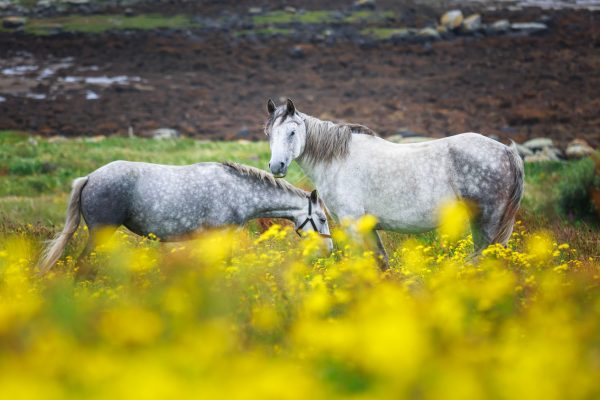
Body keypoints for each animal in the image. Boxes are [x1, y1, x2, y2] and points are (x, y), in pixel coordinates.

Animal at [264, 99, 524, 264]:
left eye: (292, 132)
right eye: (269, 134)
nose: (277, 167)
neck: (338, 160)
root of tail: (507, 152)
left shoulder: (352, 224)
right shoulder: (368, 227)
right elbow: (381, 263)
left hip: (487, 222)